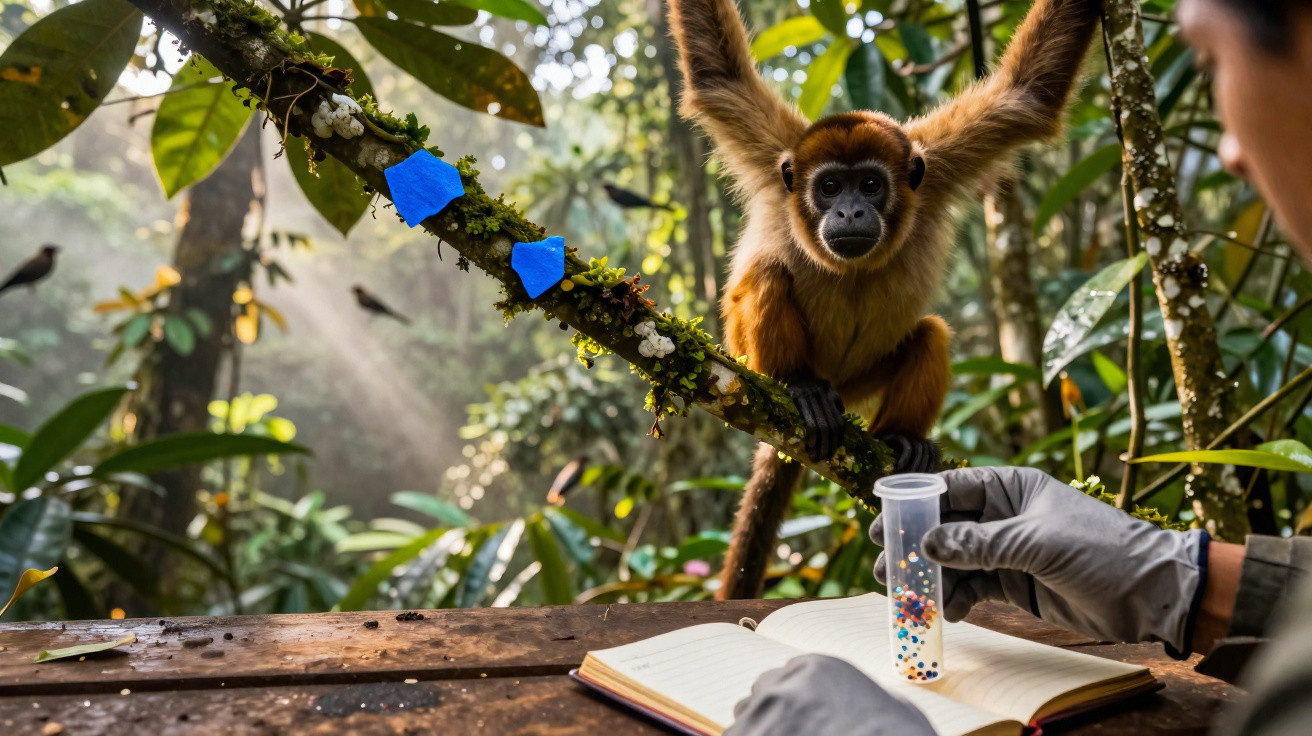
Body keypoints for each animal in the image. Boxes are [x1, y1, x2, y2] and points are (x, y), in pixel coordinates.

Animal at [666, 0, 1100, 598]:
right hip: (752, 361)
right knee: (770, 272)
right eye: (829, 187)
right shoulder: (778, 160)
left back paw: (900, 439)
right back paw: (799, 386)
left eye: (870, 185)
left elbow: (1028, 94)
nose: (850, 211)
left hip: (860, 383)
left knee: (930, 333)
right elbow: (717, 79)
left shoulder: (932, 166)